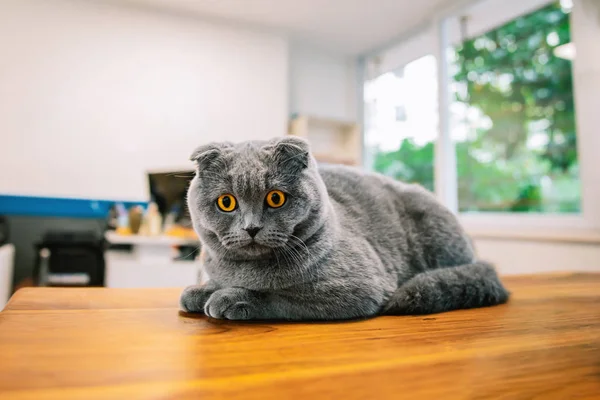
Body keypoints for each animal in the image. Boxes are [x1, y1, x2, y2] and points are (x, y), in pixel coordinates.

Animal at [180, 136, 508, 320]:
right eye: (226, 202)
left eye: (275, 198)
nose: (251, 227)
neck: (244, 271)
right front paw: (200, 291)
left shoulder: (358, 289)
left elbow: (279, 296)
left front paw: (229, 298)